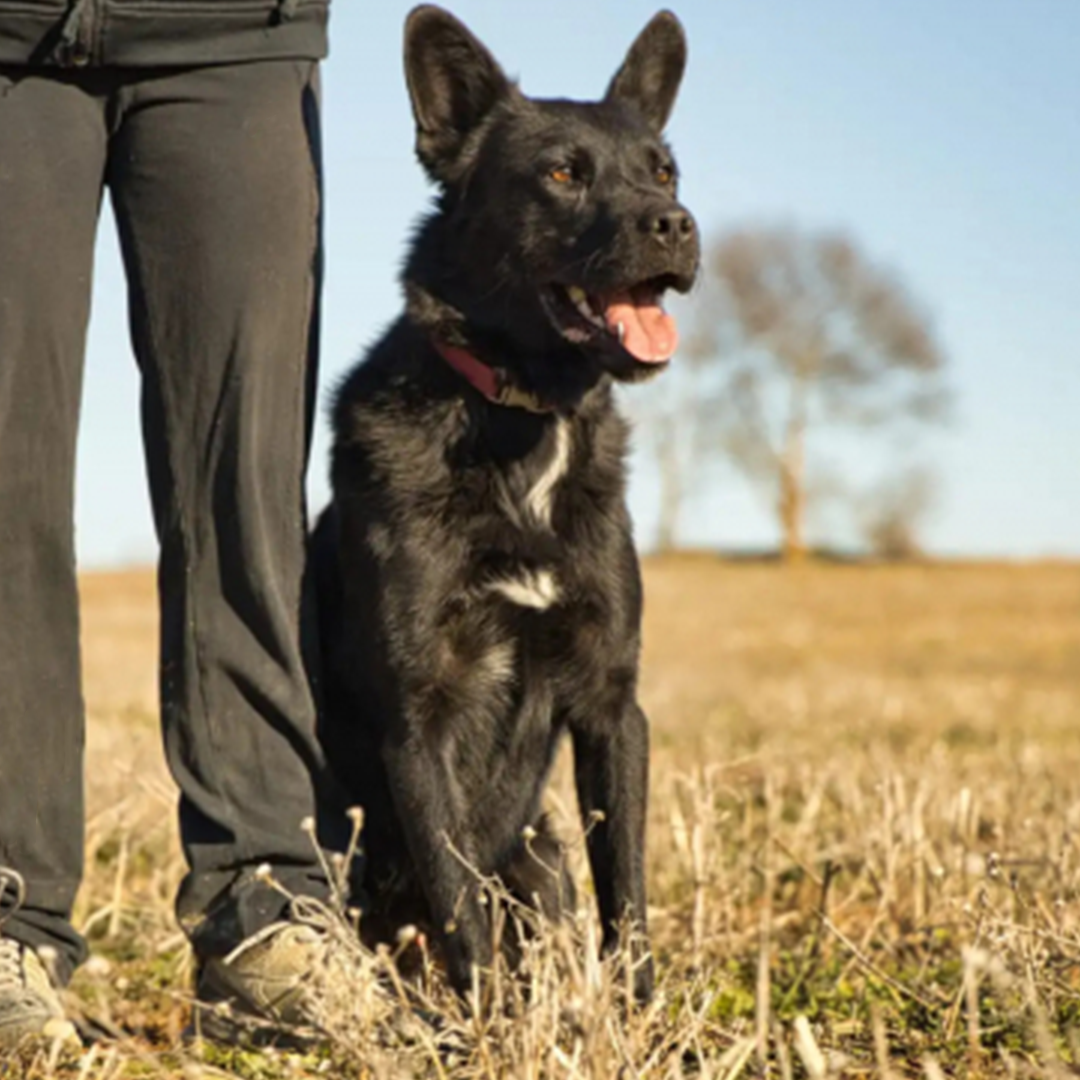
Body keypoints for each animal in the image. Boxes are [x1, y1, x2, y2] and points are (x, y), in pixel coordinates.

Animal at [313, 2, 699, 1002]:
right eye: (562, 173)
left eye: (665, 170)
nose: (677, 226)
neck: (524, 420)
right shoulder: (422, 718)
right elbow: (460, 906)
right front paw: (485, 1022)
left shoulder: (612, 705)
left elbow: (627, 889)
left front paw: (641, 1015)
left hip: (540, 856)